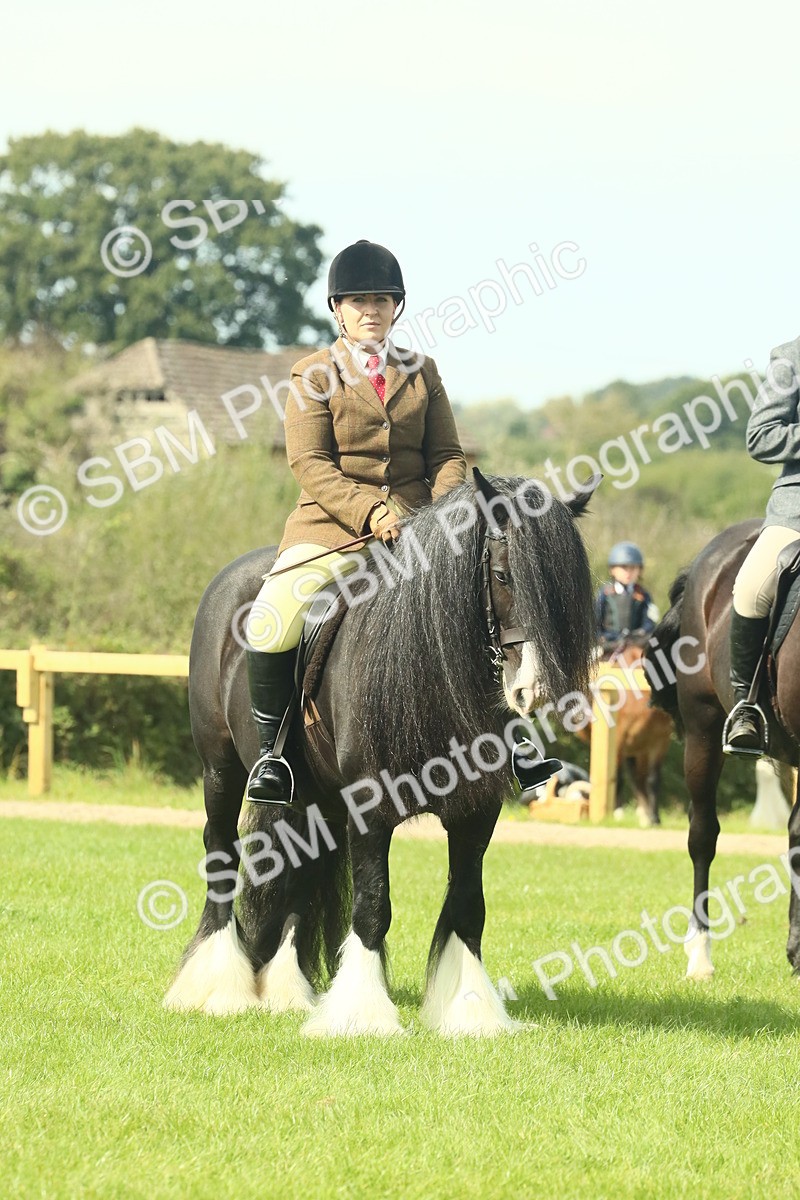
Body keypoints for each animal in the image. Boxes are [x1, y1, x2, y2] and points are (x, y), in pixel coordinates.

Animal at [164, 469, 599, 1035]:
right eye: (503, 577)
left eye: (571, 592)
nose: (535, 689)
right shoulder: (371, 808)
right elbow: (373, 906)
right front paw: (363, 1016)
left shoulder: (476, 813)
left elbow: (468, 905)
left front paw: (470, 1013)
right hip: (220, 770)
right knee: (220, 852)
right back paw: (218, 988)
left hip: (312, 798)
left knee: (299, 872)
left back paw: (286, 991)